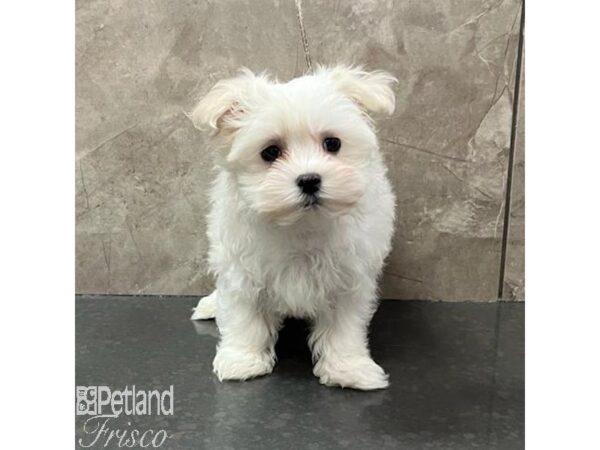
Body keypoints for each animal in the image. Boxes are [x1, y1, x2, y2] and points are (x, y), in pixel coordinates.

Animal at [192, 64, 396, 390]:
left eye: (332, 144)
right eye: (270, 152)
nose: (309, 179)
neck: (301, 225)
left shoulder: (349, 277)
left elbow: (345, 328)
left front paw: (349, 368)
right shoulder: (242, 271)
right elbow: (243, 317)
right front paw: (241, 360)